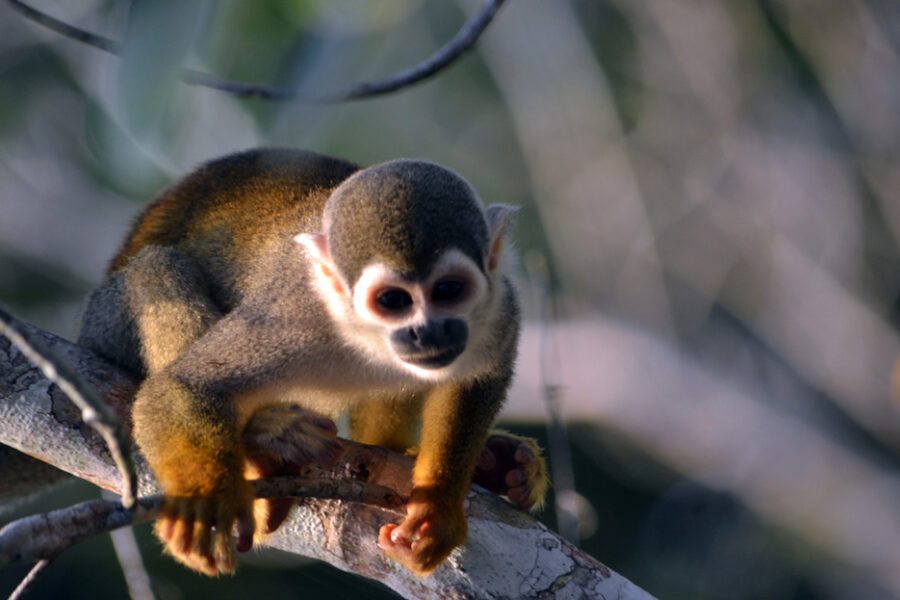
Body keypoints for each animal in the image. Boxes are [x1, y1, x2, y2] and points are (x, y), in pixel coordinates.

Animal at [73, 148, 549, 577]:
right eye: (393, 300)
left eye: (449, 290)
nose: (427, 332)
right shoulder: (291, 315)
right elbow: (183, 385)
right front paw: (205, 500)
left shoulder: (500, 305)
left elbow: (479, 376)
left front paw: (438, 507)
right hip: (107, 321)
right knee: (157, 267)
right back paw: (265, 441)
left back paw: (496, 464)